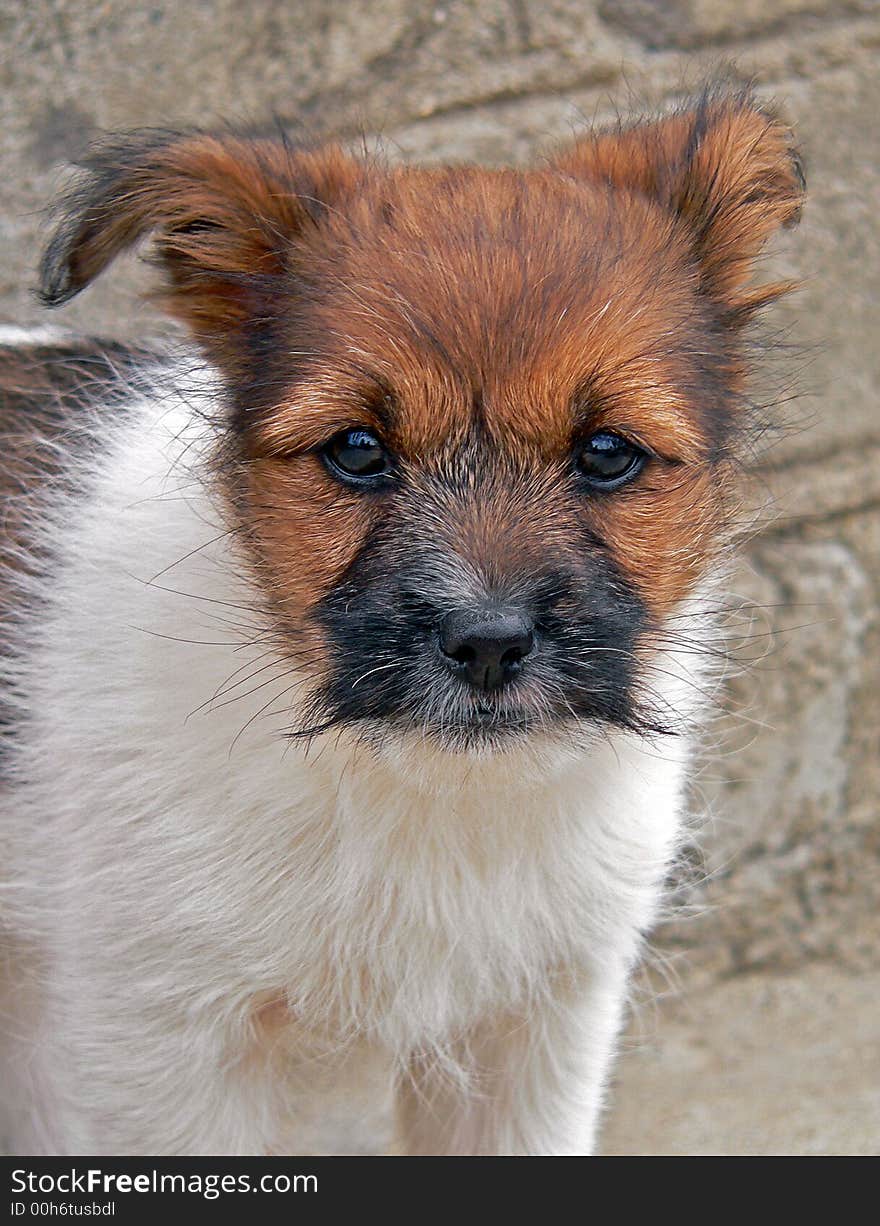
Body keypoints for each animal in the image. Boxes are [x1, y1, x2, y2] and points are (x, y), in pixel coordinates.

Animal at [0, 90, 804, 1152]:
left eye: (606, 453)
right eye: (355, 450)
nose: (489, 646)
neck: (418, 784)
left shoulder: (538, 1036)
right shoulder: (158, 1054)